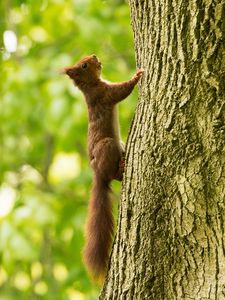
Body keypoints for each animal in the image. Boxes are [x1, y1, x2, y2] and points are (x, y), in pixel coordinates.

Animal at [62, 54, 144, 282]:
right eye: (84, 65)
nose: (95, 56)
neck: (90, 86)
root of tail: (97, 173)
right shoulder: (104, 94)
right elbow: (122, 91)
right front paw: (137, 76)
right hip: (108, 146)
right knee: (113, 175)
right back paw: (121, 167)